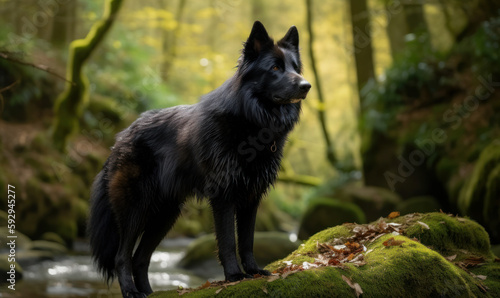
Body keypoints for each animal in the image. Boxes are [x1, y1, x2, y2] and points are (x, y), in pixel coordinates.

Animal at [88, 20, 310, 296]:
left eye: (295, 67)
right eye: (276, 68)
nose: (306, 85)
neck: (252, 123)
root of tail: (120, 138)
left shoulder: (251, 197)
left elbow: (247, 240)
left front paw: (254, 271)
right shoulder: (224, 196)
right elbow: (228, 241)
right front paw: (234, 275)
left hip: (165, 215)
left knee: (140, 258)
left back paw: (150, 292)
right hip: (136, 210)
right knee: (122, 256)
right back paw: (131, 291)